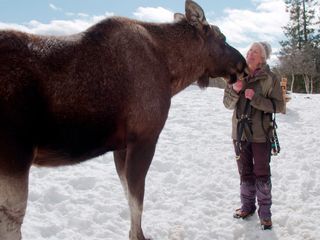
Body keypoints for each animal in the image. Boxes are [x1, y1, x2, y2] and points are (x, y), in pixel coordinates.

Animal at [0, 0, 245, 240]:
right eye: (222, 38)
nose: (244, 64)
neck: (172, 72)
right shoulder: (144, 138)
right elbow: (137, 200)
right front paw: (140, 235)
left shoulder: (120, 146)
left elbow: (128, 195)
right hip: (15, 158)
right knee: (12, 220)